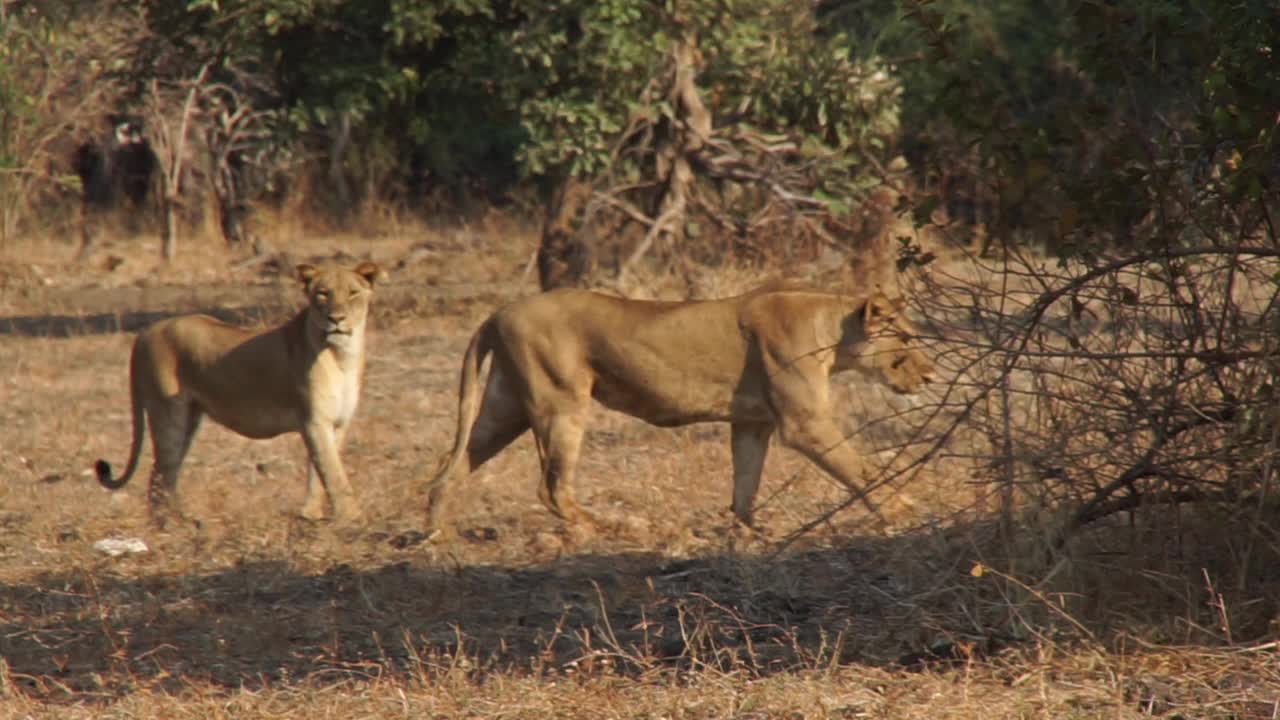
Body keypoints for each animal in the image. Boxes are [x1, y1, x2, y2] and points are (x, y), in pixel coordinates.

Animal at [96, 258, 384, 520]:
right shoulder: (314, 421)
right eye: (323, 294)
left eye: (353, 293)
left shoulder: (337, 423)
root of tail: (145, 332)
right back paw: (170, 525)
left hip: (189, 417)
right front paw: (352, 518)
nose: (336, 319)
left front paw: (310, 516)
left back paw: (183, 521)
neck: (342, 356)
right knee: (159, 473)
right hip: (168, 412)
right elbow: (333, 473)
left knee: (167, 472)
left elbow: (319, 472)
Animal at [424, 283, 936, 535]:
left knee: (449, 466)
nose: (930, 375)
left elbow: (746, 479)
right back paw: (614, 528)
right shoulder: (804, 424)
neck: (831, 328)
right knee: (552, 489)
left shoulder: (752, 423)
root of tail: (498, 313)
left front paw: (747, 531)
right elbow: (863, 469)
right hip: (561, 403)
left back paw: (434, 535)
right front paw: (902, 509)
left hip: (504, 408)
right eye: (907, 339)